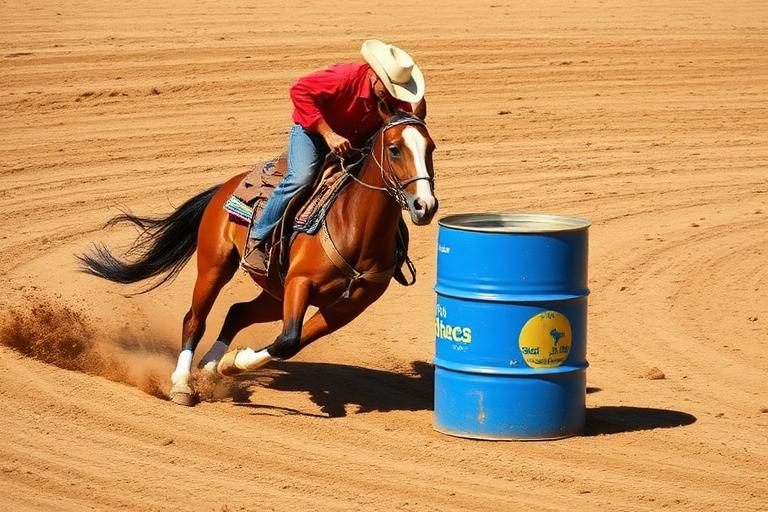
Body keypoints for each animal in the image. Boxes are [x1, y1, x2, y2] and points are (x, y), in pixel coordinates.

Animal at [78, 103, 438, 406]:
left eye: (430, 147)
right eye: (394, 149)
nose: (425, 206)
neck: (354, 226)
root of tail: (229, 184)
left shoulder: (348, 307)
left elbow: (291, 342)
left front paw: (228, 365)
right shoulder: (301, 283)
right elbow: (288, 339)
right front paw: (231, 363)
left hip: (274, 292)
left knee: (238, 312)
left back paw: (210, 366)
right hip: (215, 266)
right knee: (194, 318)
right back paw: (182, 383)